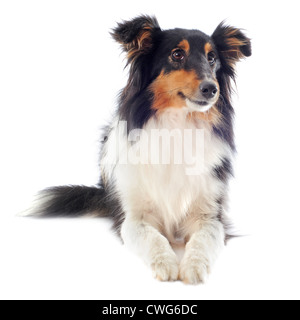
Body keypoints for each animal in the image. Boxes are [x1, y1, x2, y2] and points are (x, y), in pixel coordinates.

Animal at [29, 16, 251, 284]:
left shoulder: (210, 214)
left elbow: (202, 241)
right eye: (177, 54)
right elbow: (152, 238)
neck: (177, 124)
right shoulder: (133, 217)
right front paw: (166, 264)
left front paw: (193, 267)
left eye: (212, 58)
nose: (211, 89)